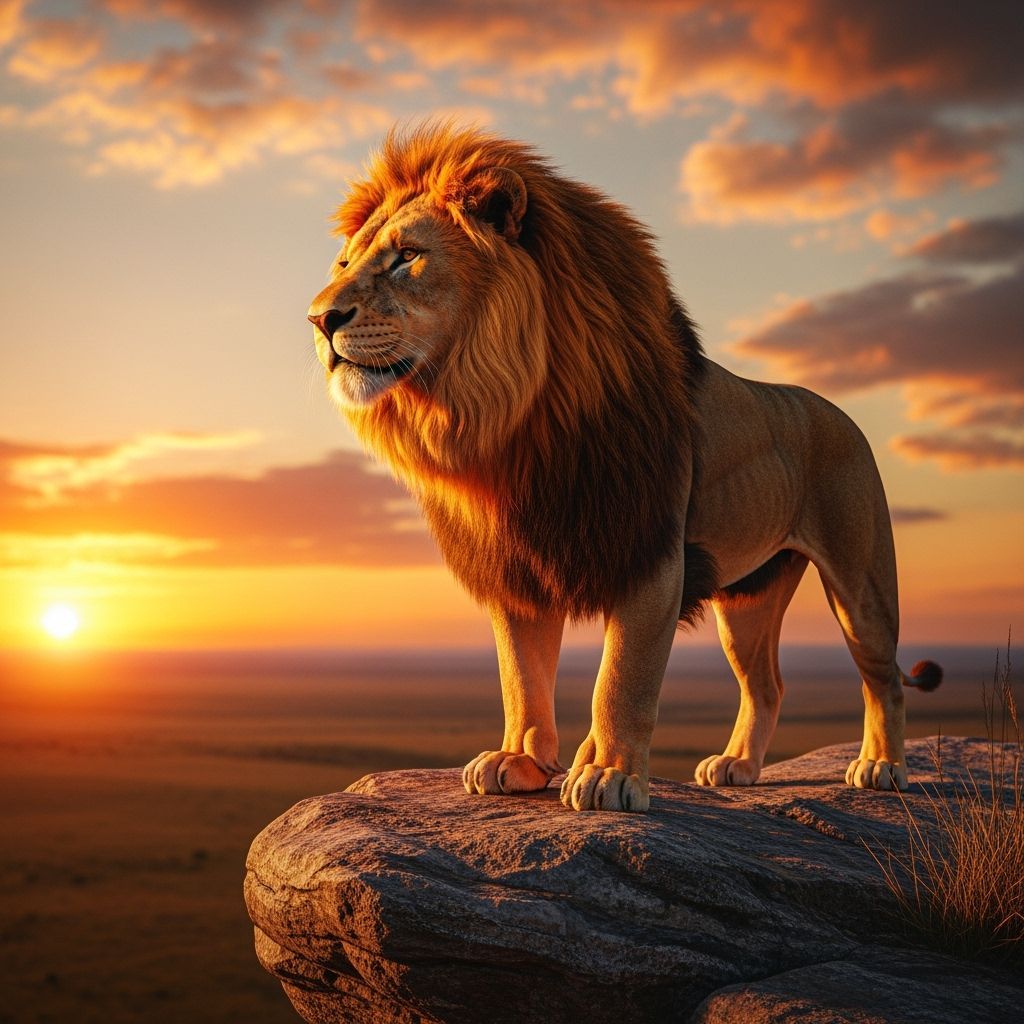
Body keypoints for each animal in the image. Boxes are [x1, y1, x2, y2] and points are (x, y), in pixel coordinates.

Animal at [307, 122, 941, 813]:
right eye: (344, 264)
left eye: (406, 256)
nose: (319, 318)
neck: (510, 417)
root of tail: (833, 410)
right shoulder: (516, 564)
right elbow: (521, 676)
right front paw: (521, 760)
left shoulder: (650, 550)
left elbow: (621, 679)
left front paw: (609, 776)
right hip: (749, 594)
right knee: (767, 683)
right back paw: (739, 766)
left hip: (860, 581)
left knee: (883, 676)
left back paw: (881, 766)